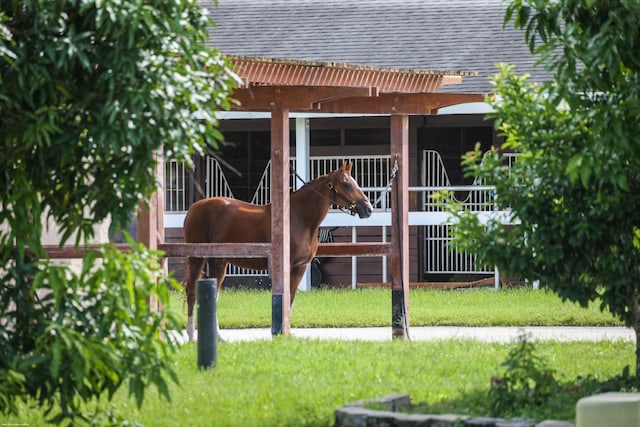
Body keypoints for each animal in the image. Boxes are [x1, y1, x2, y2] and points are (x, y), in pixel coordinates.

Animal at [181, 164, 370, 342]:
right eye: (346, 184)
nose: (367, 208)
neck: (298, 218)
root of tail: (193, 208)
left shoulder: (300, 268)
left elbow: (290, 300)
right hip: (197, 258)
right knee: (191, 292)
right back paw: (191, 335)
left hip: (218, 261)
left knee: (213, 294)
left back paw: (219, 337)